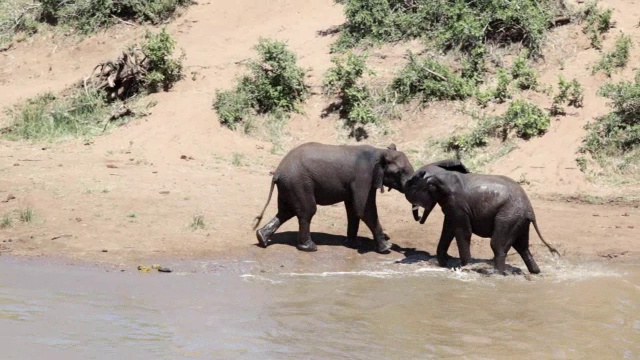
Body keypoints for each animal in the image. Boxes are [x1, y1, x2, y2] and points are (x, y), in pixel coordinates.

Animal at [255, 141, 416, 253]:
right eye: (398, 172)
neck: (381, 151)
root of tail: (277, 172)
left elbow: (353, 210)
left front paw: (351, 244)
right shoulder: (363, 177)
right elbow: (364, 210)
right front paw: (386, 248)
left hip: (289, 185)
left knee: (285, 212)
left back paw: (262, 238)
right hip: (298, 183)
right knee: (307, 211)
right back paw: (310, 248)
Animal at [404, 167, 560, 276]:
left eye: (414, 187)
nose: (419, 219)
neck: (442, 175)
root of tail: (530, 211)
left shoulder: (458, 204)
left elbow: (462, 232)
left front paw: (466, 267)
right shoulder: (451, 206)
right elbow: (448, 229)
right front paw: (443, 265)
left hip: (509, 217)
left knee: (498, 246)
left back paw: (497, 274)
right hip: (519, 220)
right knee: (522, 247)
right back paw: (535, 272)